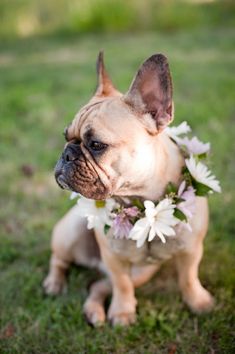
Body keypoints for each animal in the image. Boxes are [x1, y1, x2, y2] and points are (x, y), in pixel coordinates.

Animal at [43, 52, 214, 326]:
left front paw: (198, 302)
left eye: (96, 144)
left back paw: (94, 311)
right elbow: (122, 286)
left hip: (142, 272)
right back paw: (55, 283)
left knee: (99, 286)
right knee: (60, 260)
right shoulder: (115, 260)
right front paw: (123, 312)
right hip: (70, 233)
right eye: (65, 136)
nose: (66, 154)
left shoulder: (191, 251)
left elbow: (188, 277)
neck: (142, 201)